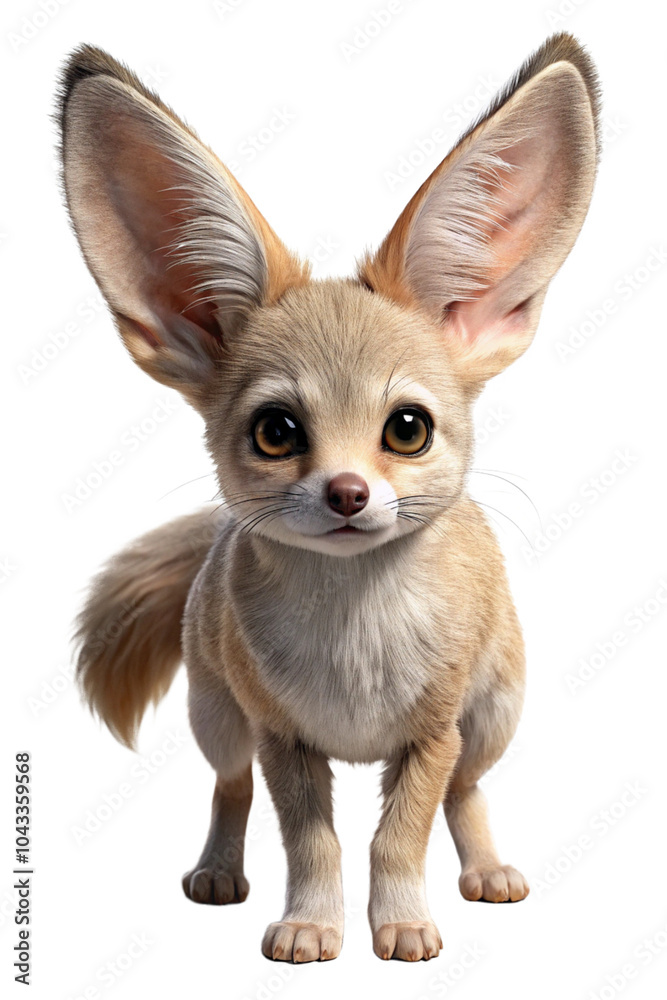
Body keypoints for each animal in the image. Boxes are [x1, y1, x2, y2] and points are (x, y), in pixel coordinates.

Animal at [60, 32, 600, 963]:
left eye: (406, 429)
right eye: (277, 432)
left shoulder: (432, 735)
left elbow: (397, 836)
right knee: (227, 789)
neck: (353, 641)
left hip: (492, 718)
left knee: (465, 792)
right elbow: (312, 840)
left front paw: (404, 924)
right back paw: (217, 870)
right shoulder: (282, 739)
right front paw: (311, 924)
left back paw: (485, 869)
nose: (348, 492)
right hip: (216, 717)